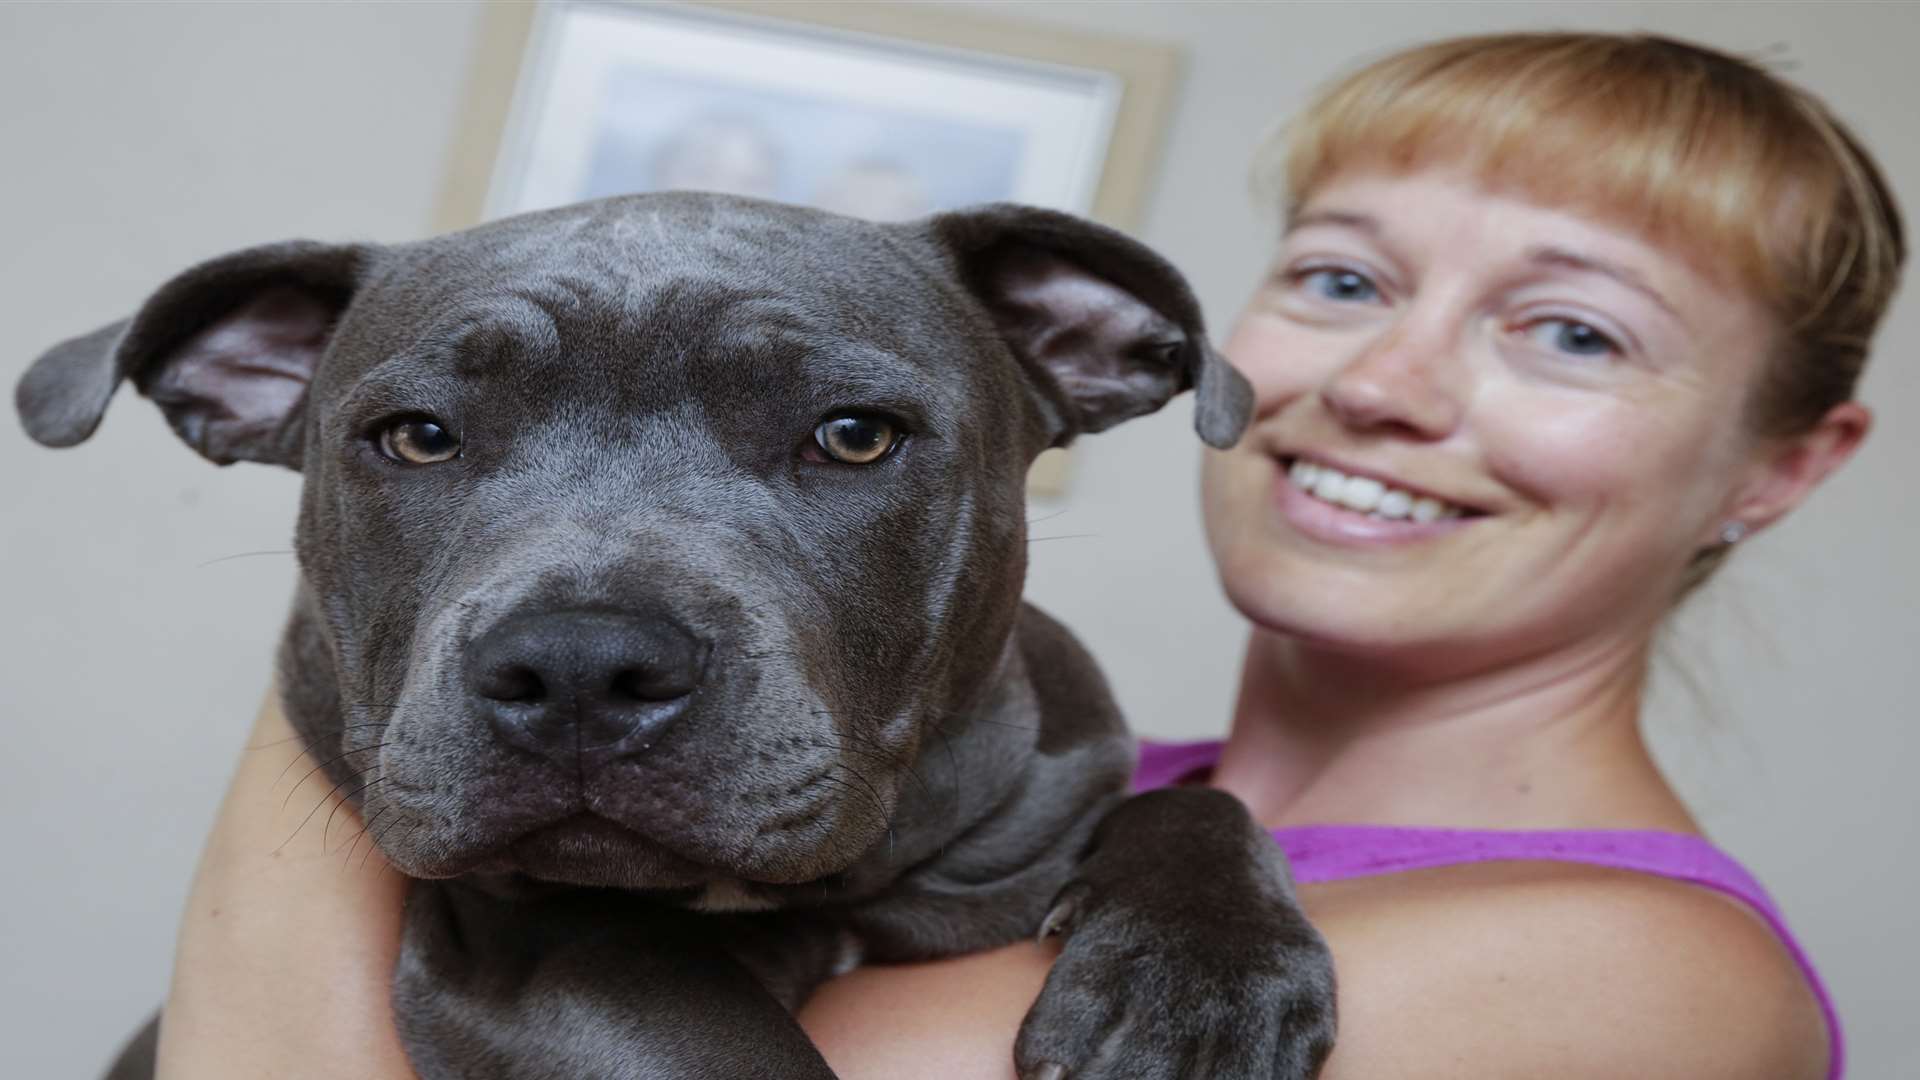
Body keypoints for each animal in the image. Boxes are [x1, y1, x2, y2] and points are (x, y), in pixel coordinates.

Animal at [15, 195, 1336, 1076]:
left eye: (854, 434)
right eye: (417, 437)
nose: (581, 665)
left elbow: (1203, 799)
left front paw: (1198, 983)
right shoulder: (520, 956)